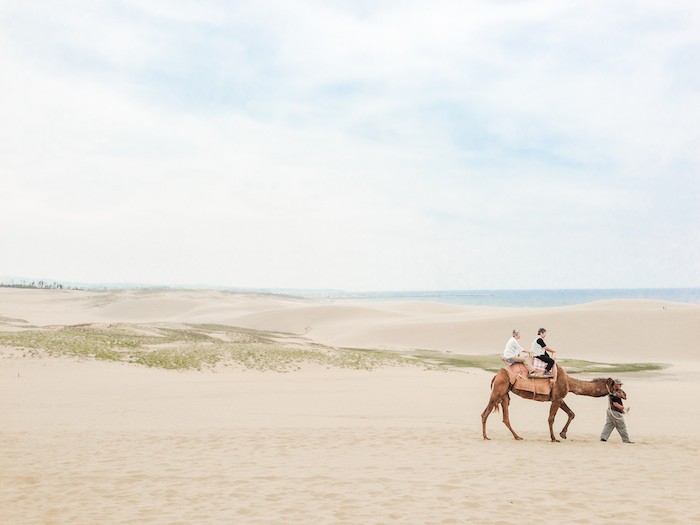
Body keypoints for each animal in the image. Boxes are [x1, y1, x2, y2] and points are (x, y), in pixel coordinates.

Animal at [482, 364, 624, 442]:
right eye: (617, 388)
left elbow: (571, 413)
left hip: (505, 394)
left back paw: (517, 437)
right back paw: (485, 437)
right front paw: (554, 438)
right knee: (485, 413)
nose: (624, 394)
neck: (569, 382)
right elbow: (551, 418)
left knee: (505, 417)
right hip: (498, 390)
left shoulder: (559, 398)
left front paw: (563, 434)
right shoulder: (557, 398)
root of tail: (496, 375)